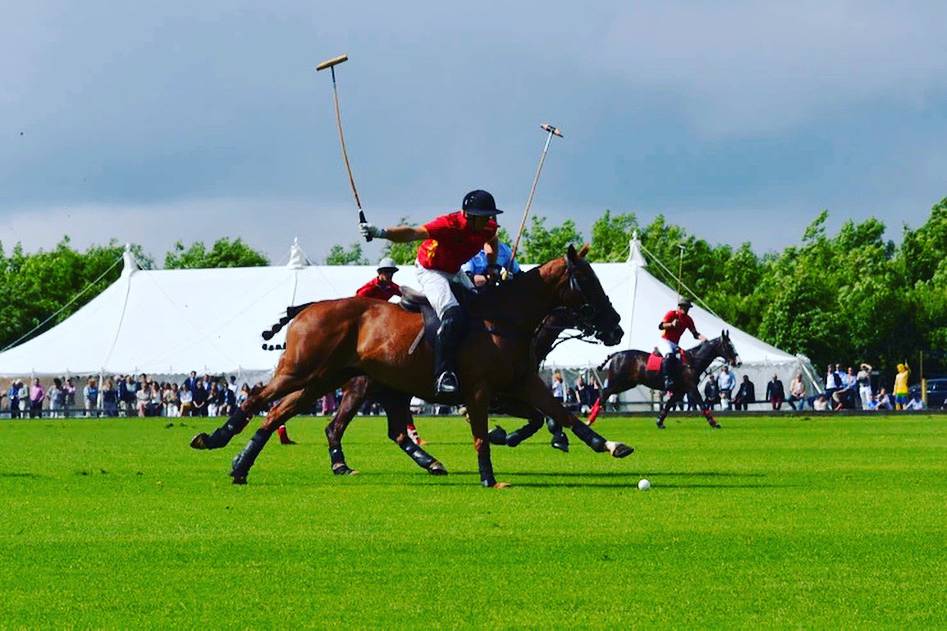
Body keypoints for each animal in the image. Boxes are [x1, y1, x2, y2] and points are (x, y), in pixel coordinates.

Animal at [191, 244, 636, 486]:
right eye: (588, 281)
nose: (615, 327)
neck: (507, 318)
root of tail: (308, 306)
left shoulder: (523, 384)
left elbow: (560, 414)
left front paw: (610, 445)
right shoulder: (480, 390)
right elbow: (486, 431)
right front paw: (490, 473)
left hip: (330, 380)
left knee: (283, 415)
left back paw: (243, 465)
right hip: (305, 371)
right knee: (260, 400)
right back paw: (215, 441)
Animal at [584, 330, 740, 430]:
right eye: (729, 346)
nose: (737, 362)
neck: (692, 360)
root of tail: (616, 354)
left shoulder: (679, 390)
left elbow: (668, 405)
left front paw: (659, 422)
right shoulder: (691, 387)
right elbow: (702, 404)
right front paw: (714, 423)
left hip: (627, 384)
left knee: (604, 393)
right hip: (617, 382)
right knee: (604, 394)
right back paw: (589, 420)